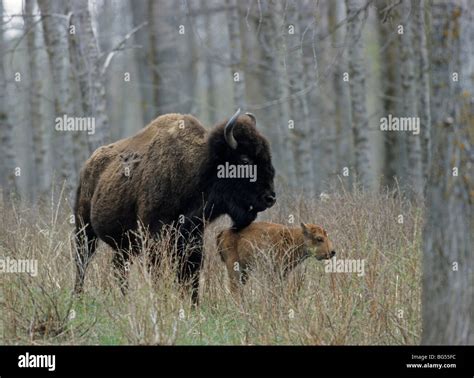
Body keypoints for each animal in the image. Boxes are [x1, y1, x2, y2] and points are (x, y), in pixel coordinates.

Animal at [73, 108, 274, 302]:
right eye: (245, 159)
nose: (270, 197)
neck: (196, 167)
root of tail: (87, 166)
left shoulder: (192, 237)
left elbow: (191, 273)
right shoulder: (154, 237)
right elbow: (159, 273)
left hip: (124, 245)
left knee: (119, 268)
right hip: (84, 228)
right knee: (82, 260)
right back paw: (78, 297)